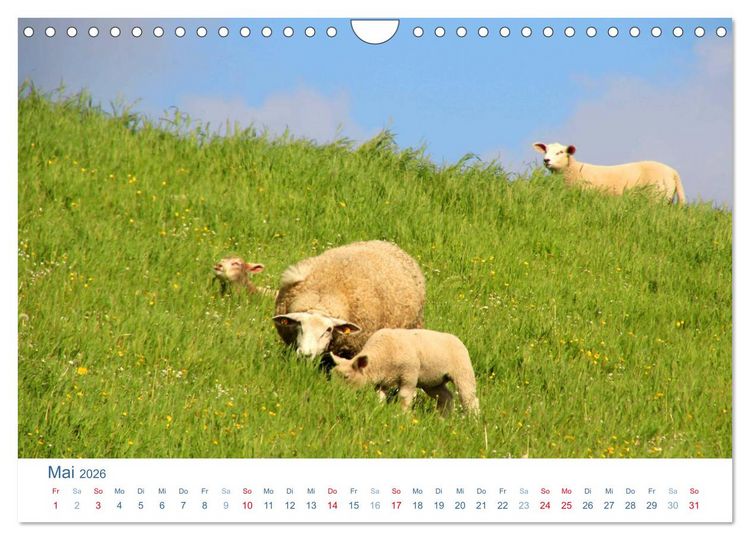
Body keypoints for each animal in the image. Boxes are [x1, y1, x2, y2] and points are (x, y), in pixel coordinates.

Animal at [331, 328, 480, 415]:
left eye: (346, 377)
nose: (337, 396)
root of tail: (456, 339)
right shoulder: (382, 382)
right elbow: (380, 397)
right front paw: (379, 410)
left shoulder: (409, 375)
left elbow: (404, 397)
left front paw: (403, 416)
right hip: (432, 382)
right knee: (446, 397)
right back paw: (443, 419)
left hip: (463, 371)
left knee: (469, 398)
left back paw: (473, 421)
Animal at [532, 142, 686, 204]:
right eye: (546, 151)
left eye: (560, 152)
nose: (546, 160)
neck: (573, 170)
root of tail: (673, 172)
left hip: (656, 197)